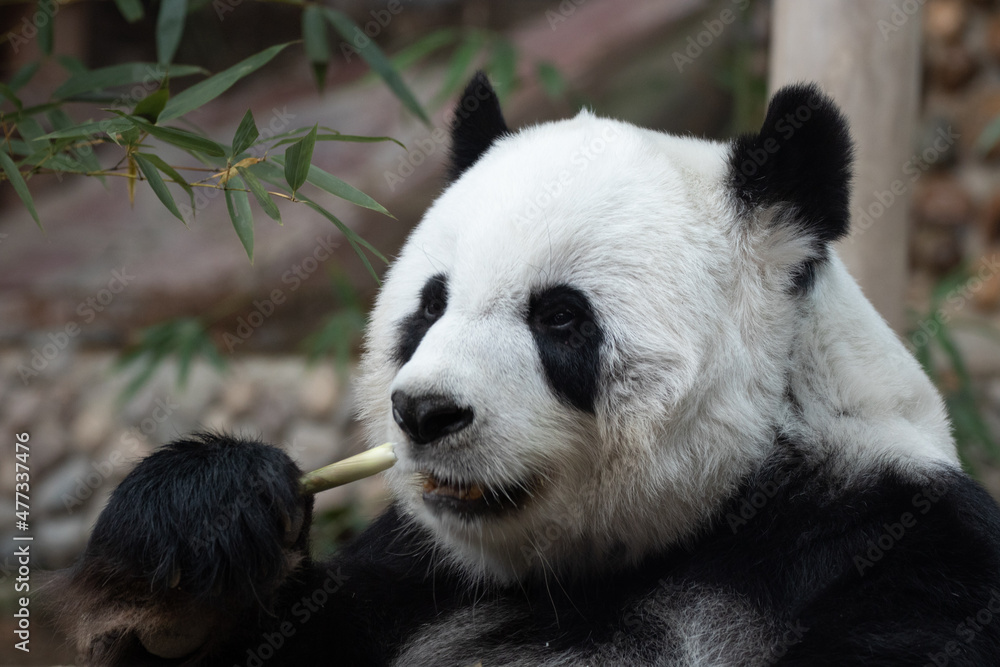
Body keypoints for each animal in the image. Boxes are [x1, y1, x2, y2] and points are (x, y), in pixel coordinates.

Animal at [48, 72, 1000, 666]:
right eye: (430, 307)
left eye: (559, 317)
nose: (425, 413)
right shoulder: (413, 579)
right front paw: (192, 544)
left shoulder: (897, 557)